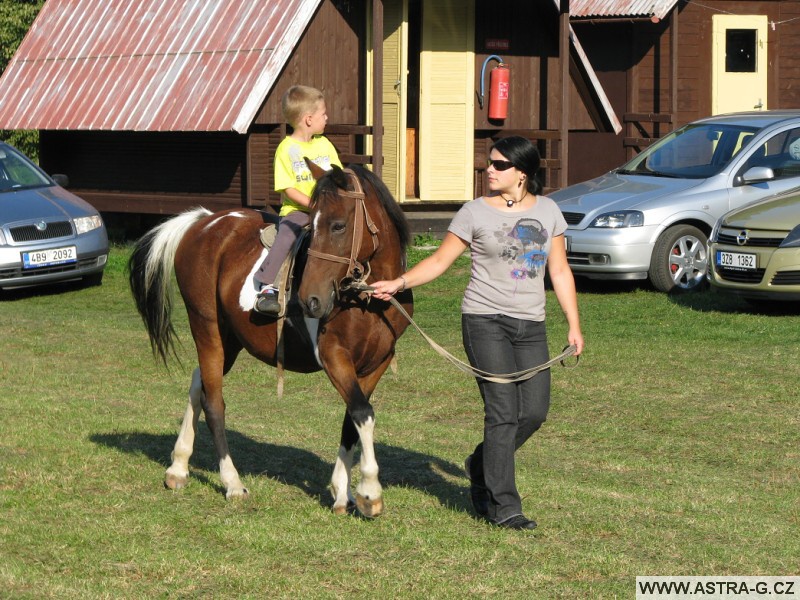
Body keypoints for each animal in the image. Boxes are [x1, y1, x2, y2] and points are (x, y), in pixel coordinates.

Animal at [126, 164, 412, 516]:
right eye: (315, 225)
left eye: (338, 225)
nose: (310, 300)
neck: (366, 300)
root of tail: (204, 222)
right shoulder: (334, 356)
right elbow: (362, 413)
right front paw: (369, 492)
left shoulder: (377, 362)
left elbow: (352, 419)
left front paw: (342, 493)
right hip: (207, 328)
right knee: (214, 403)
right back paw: (232, 483)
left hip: (230, 339)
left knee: (198, 383)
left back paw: (178, 468)